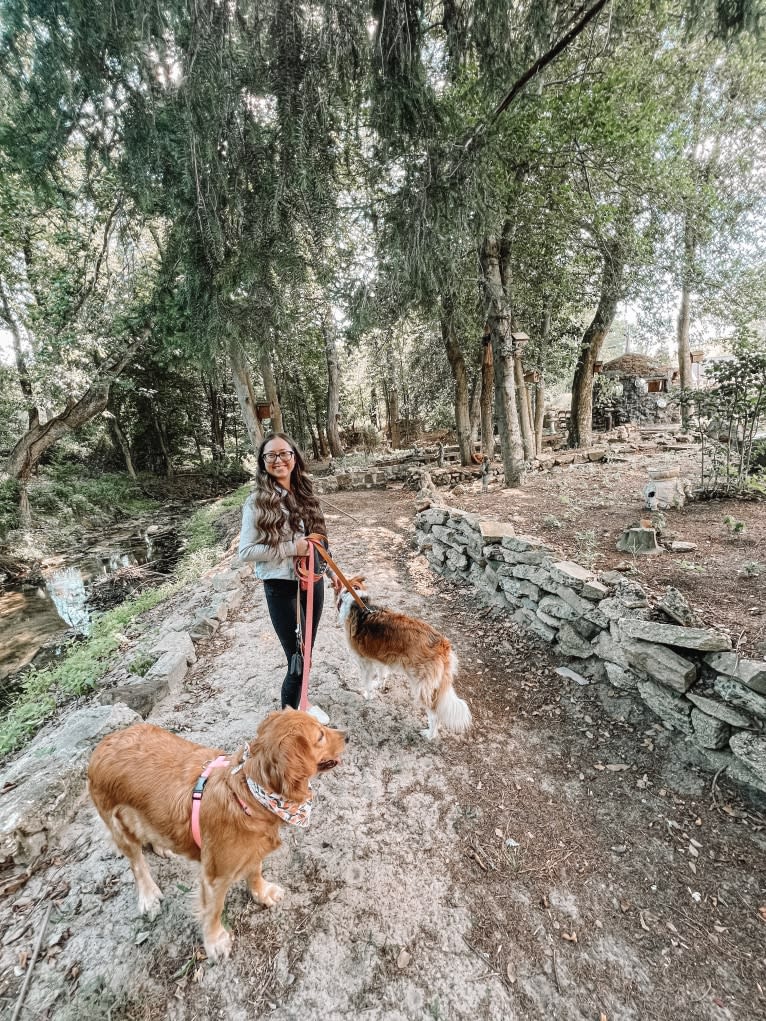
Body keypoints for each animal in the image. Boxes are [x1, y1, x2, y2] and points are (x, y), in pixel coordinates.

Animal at [86, 714, 345, 959]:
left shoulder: (254, 848)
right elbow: (214, 909)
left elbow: (255, 871)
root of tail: (102, 744)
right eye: (320, 736)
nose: (347, 736)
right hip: (117, 824)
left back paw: (161, 847)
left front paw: (262, 893)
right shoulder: (215, 876)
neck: (251, 792)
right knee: (137, 863)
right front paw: (215, 941)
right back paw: (148, 896)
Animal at [332, 575, 471, 743]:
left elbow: (367, 683)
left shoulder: (364, 662)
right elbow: (382, 675)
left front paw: (368, 696)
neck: (357, 602)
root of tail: (443, 644)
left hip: (421, 686)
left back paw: (429, 735)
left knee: (434, 715)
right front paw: (379, 685)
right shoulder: (380, 657)